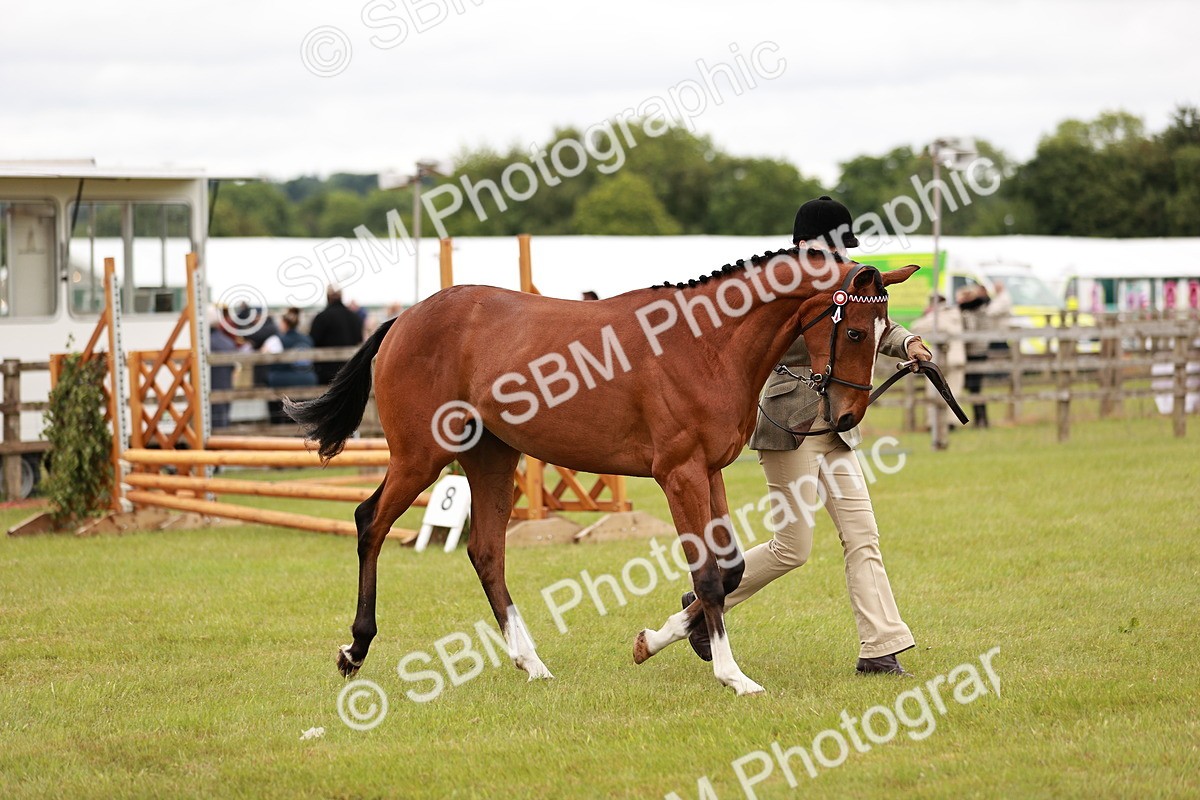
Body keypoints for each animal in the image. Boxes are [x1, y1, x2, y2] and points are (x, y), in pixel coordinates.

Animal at [286, 248, 919, 695]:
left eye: (881, 333)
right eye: (854, 331)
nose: (848, 416)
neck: (707, 345)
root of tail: (404, 318)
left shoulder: (710, 471)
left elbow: (732, 569)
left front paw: (663, 640)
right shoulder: (680, 474)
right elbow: (710, 577)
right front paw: (732, 676)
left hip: (490, 457)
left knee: (486, 552)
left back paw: (531, 663)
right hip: (421, 455)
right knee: (371, 522)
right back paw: (355, 651)